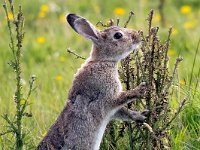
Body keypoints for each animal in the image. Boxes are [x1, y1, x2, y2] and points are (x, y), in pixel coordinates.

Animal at [37, 13, 148, 149]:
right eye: (118, 35)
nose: (138, 35)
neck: (103, 60)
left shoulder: (112, 111)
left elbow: (123, 112)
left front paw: (142, 115)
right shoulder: (107, 97)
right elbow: (122, 98)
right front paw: (141, 88)